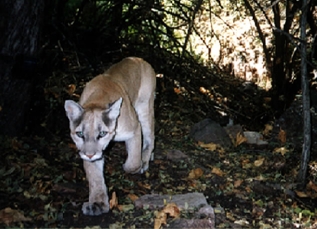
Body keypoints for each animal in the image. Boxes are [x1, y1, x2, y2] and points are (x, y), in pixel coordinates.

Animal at [64, 56, 156, 215]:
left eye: (102, 133)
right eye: (80, 134)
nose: (89, 155)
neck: (98, 99)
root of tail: (139, 59)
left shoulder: (134, 128)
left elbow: (132, 163)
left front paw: (135, 165)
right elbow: (95, 177)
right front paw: (98, 204)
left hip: (144, 108)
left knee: (151, 136)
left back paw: (145, 159)